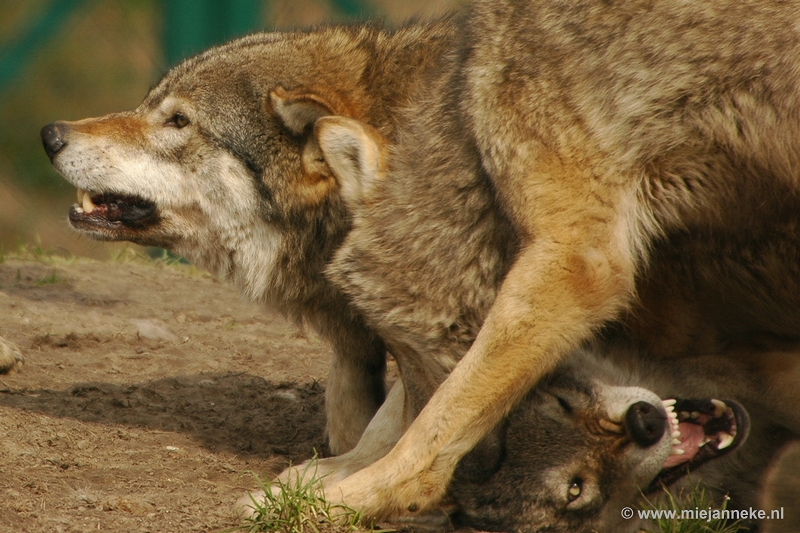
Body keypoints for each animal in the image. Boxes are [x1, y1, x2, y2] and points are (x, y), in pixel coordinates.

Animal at [310, 0, 800, 516]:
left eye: (403, 348)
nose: (475, 482)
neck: (474, 136)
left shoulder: (576, 260)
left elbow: (440, 418)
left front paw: (361, 493)